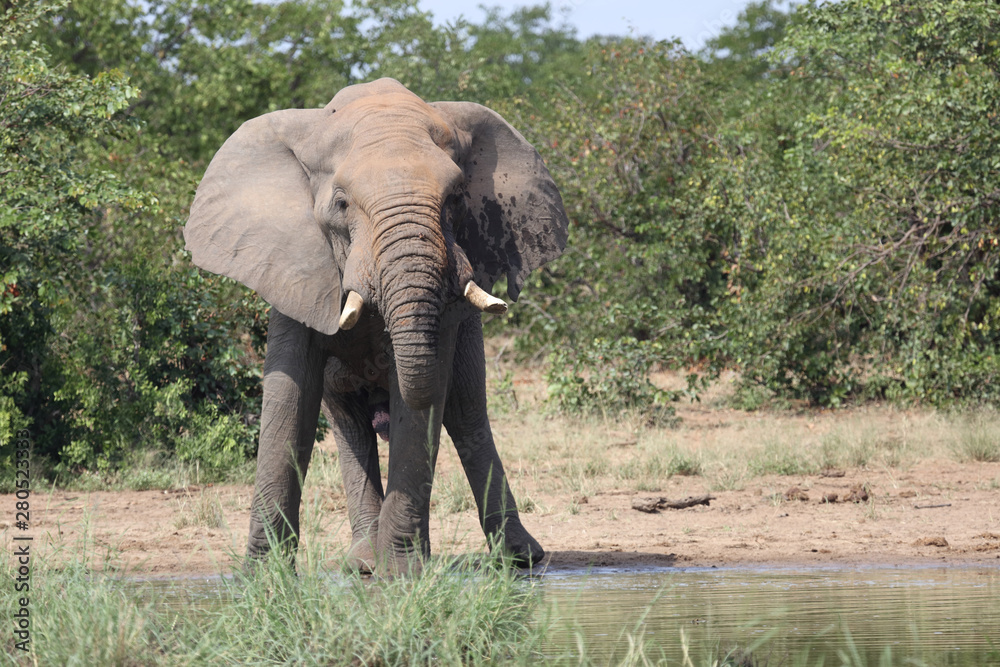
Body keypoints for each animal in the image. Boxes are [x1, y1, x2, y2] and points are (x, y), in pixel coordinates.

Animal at [184, 78, 568, 574]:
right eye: (342, 204)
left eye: (456, 199)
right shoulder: (292, 267)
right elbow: (291, 395)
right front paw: (262, 578)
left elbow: (426, 400)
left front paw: (403, 572)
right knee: (350, 426)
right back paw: (364, 562)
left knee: (466, 412)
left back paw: (519, 559)